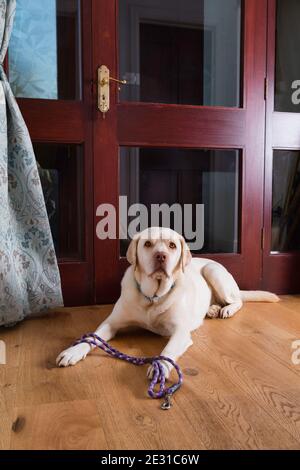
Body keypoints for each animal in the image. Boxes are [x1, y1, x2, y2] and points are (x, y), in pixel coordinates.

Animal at [56, 228, 278, 378]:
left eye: (172, 245)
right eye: (147, 244)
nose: (161, 256)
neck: (153, 297)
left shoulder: (180, 331)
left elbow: (168, 351)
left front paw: (160, 367)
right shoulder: (111, 323)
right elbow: (91, 337)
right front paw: (73, 351)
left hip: (213, 272)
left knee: (238, 300)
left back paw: (227, 309)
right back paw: (214, 309)